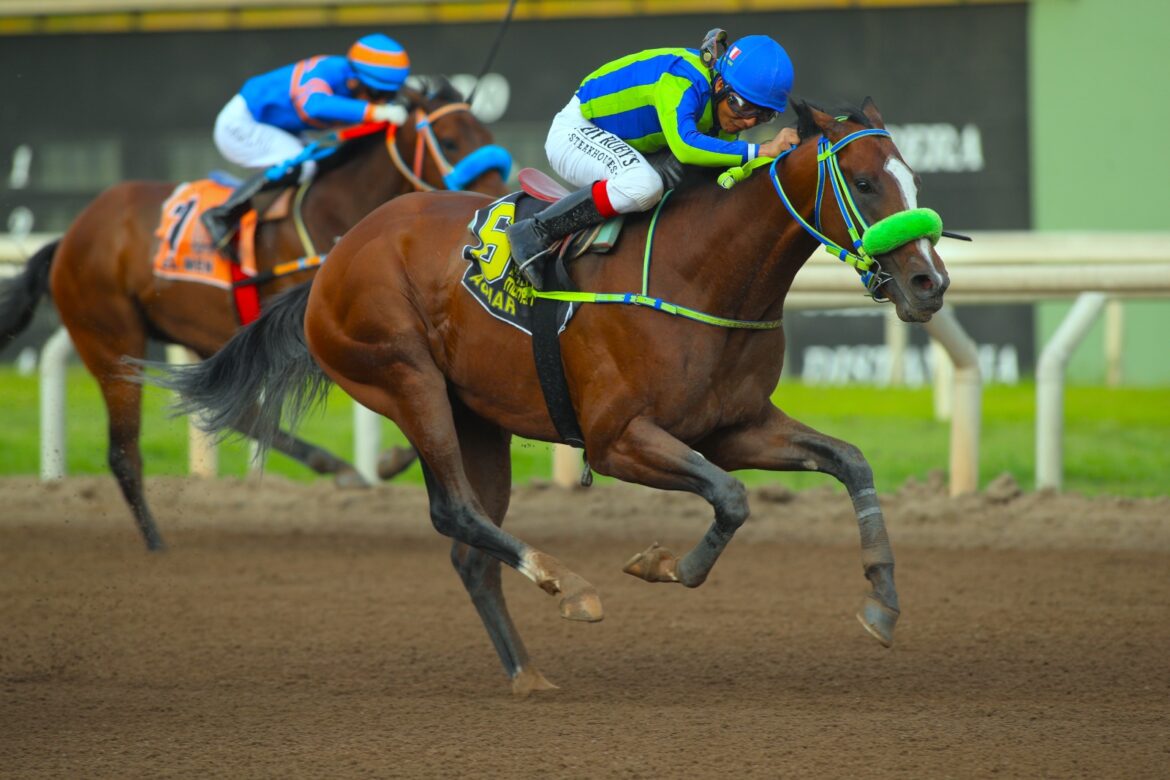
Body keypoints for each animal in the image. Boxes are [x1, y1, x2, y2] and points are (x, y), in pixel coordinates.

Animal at [1, 73, 512, 549]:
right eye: (450, 141)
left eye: (486, 135)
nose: (492, 208)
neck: (335, 215)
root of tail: (68, 237)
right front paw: (392, 461)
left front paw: (389, 461)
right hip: (110, 341)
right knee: (124, 452)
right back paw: (156, 544)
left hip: (195, 335)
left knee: (231, 412)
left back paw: (334, 465)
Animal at [148, 97, 950, 696]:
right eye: (867, 183)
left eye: (914, 178)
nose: (929, 283)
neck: (702, 270)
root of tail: (334, 259)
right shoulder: (618, 438)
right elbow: (731, 497)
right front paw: (662, 565)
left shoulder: (736, 427)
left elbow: (848, 462)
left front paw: (882, 602)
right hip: (407, 379)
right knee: (455, 511)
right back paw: (568, 585)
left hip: (479, 418)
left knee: (469, 551)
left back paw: (527, 673)